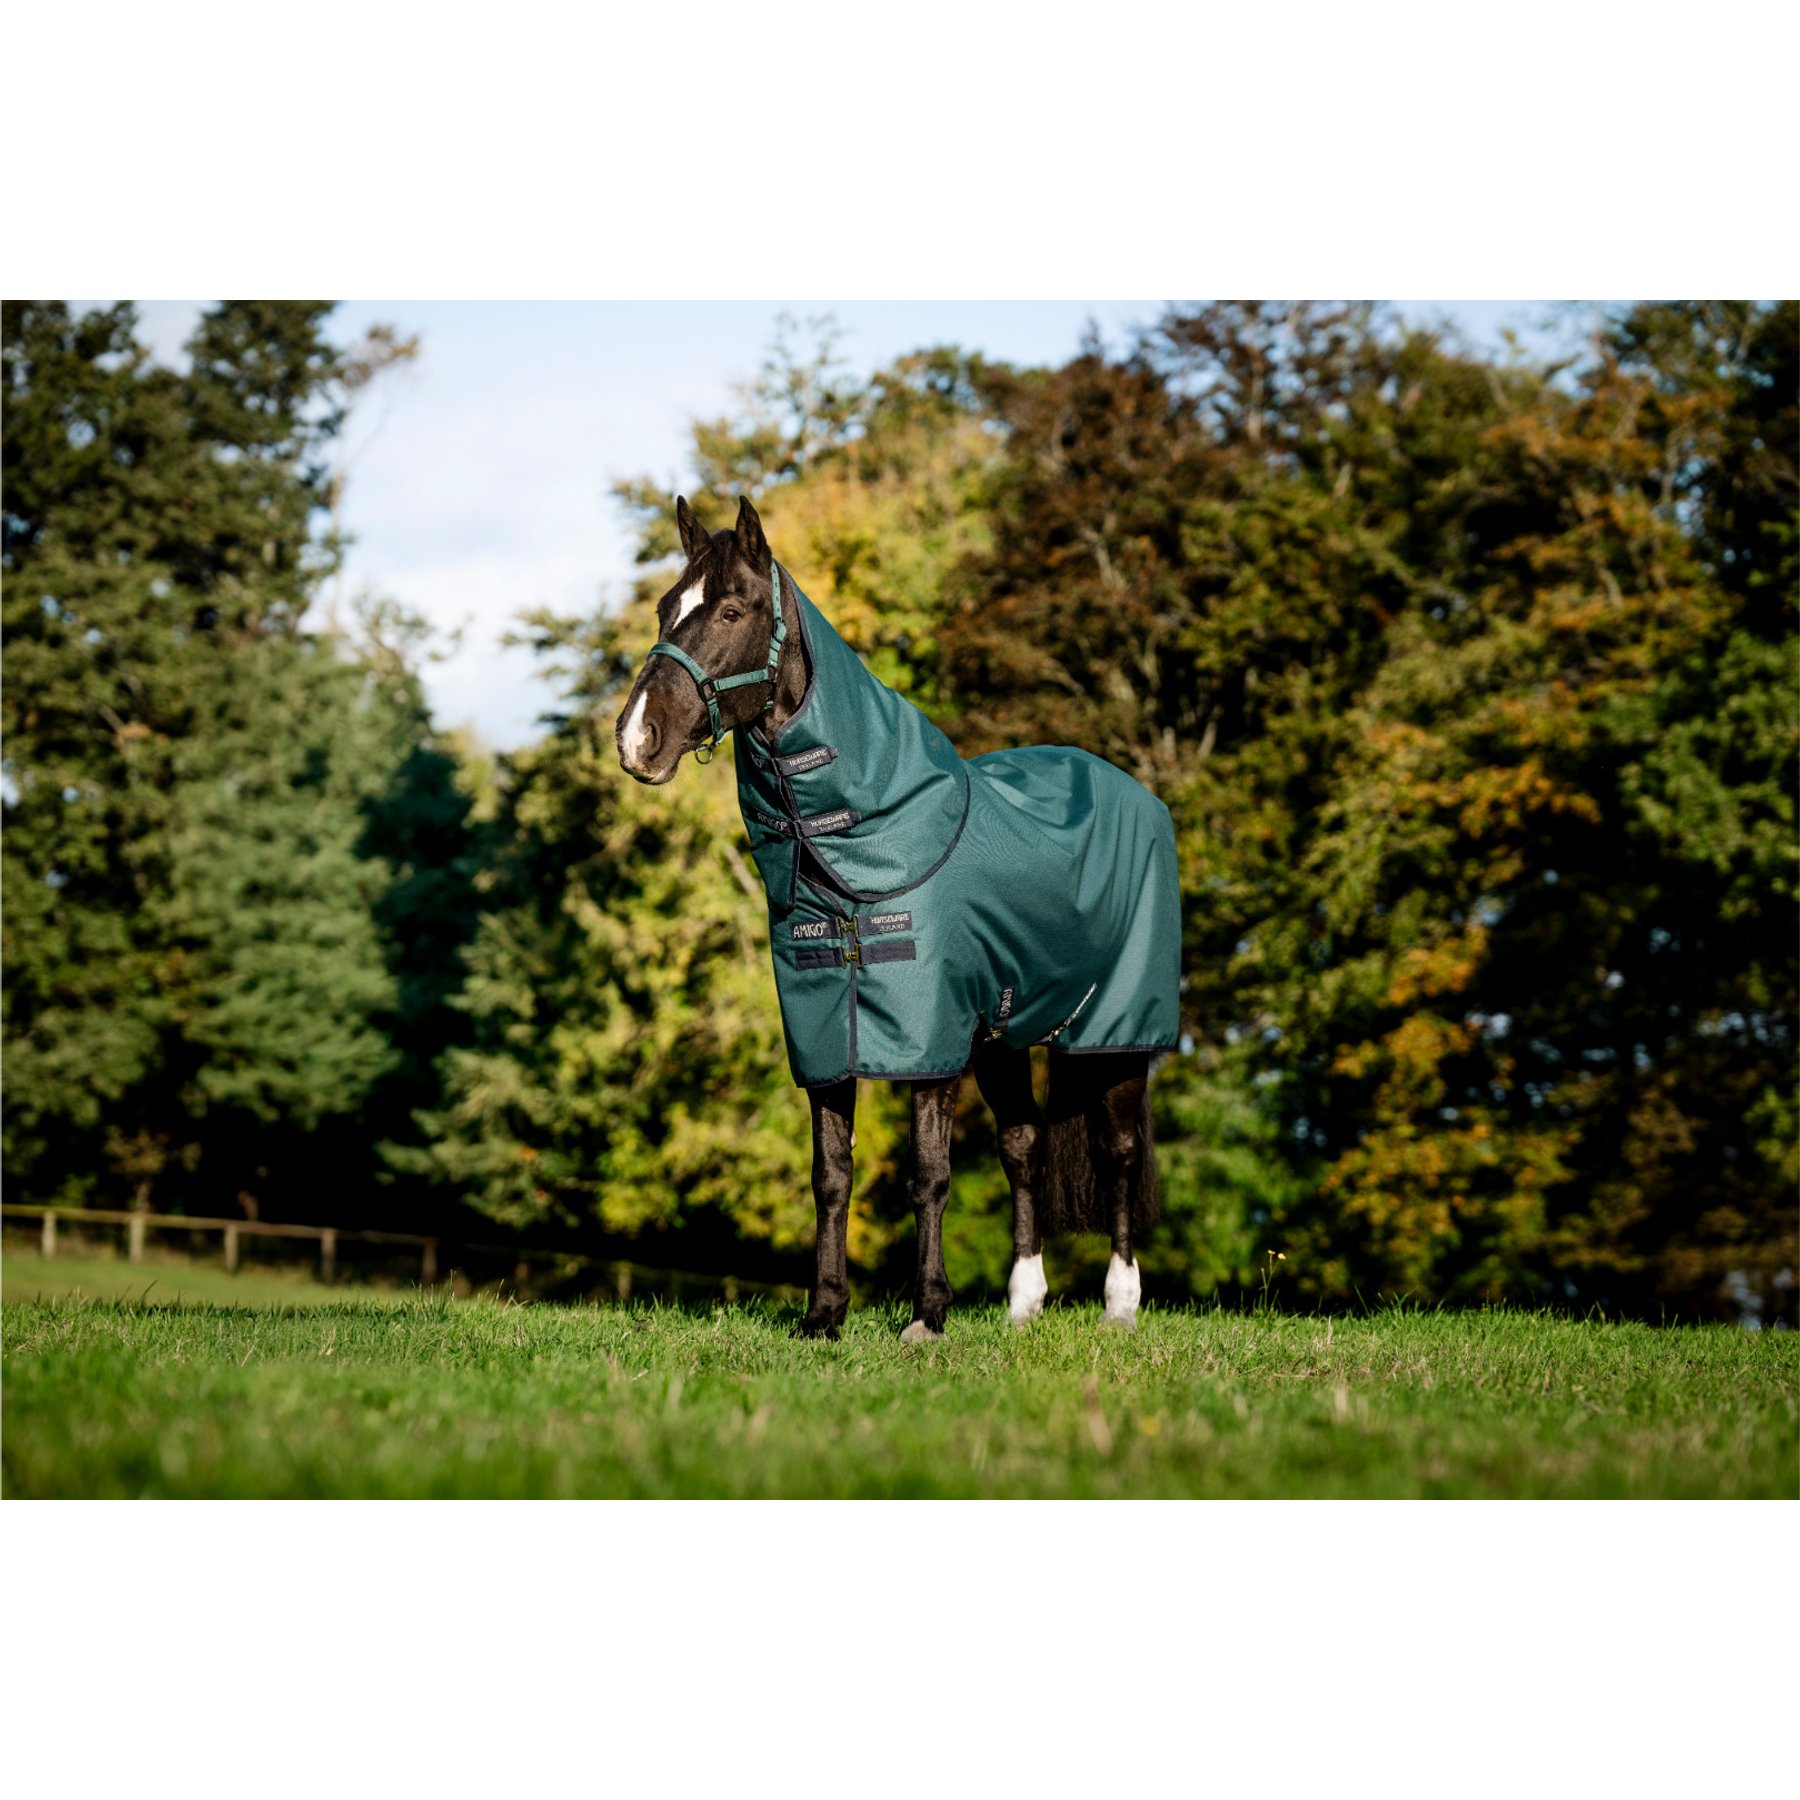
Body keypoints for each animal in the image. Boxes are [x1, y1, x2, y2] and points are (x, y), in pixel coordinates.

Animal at [615, 495, 1181, 1341]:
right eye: (663, 609)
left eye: (731, 610)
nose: (635, 739)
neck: (867, 845)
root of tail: (1135, 793)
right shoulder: (826, 1038)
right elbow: (830, 1175)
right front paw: (823, 1314)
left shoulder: (930, 1044)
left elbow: (930, 1174)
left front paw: (927, 1315)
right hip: (1004, 1036)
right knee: (1025, 1146)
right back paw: (1024, 1303)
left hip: (1114, 1033)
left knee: (1116, 1151)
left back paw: (1120, 1303)